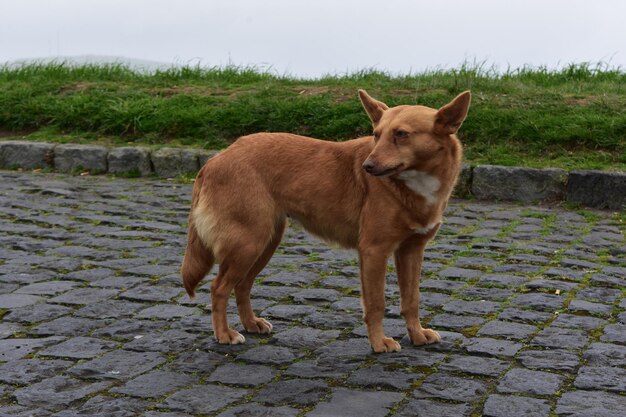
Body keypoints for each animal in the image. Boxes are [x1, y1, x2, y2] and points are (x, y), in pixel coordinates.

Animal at [180, 88, 468, 352]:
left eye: (401, 134)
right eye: (376, 135)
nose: (367, 167)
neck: (414, 183)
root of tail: (216, 159)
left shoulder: (412, 251)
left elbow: (412, 300)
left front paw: (417, 335)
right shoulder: (374, 251)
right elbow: (376, 304)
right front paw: (379, 343)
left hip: (264, 244)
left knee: (241, 286)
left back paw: (251, 324)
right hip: (248, 244)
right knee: (218, 288)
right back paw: (224, 334)